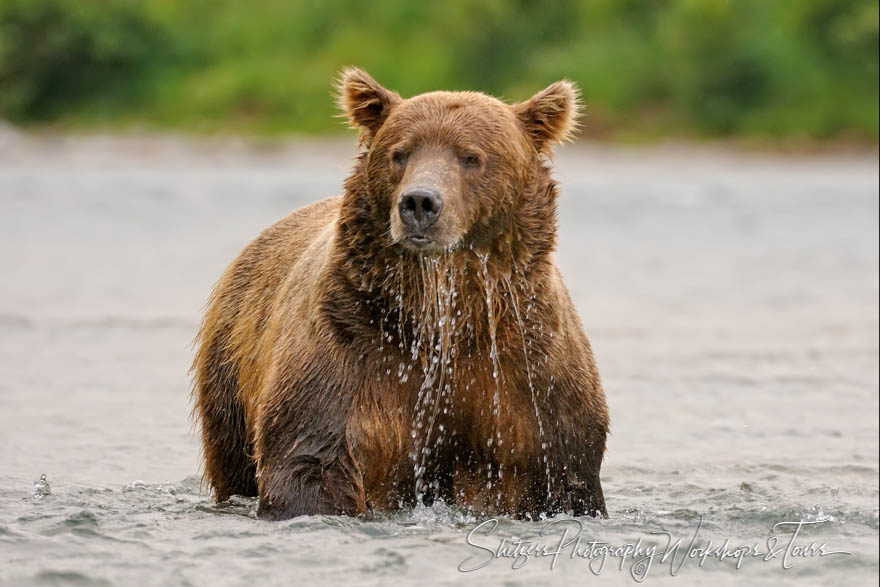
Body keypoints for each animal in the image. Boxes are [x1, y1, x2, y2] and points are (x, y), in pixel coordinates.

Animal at [192, 66, 608, 520]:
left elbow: (561, 471)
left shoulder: (527, 372)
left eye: (471, 156)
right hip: (230, 367)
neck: (446, 319)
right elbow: (314, 458)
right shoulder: (353, 347)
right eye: (400, 153)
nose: (420, 202)